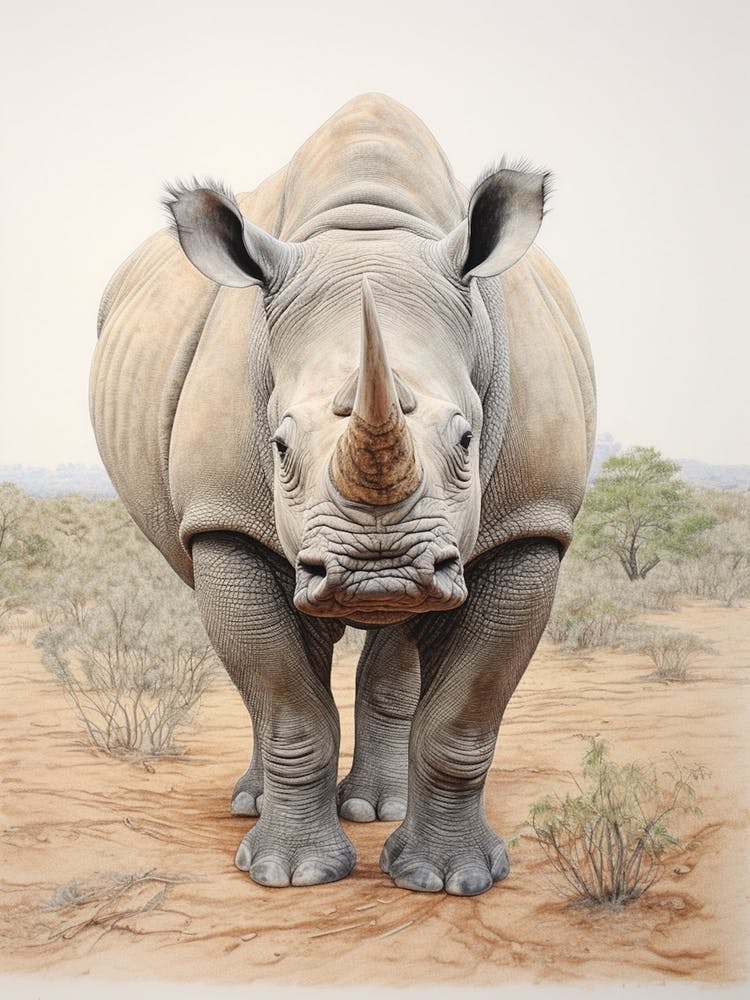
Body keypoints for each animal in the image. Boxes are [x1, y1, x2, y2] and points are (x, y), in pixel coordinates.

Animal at [91, 94, 595, 896]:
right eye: (279, 447)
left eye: (466, 440)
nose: (375, 572)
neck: (372, 231)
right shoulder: (225, 521)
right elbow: (287, 705)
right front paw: (289, 874)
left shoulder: (529, 524)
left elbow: (464, 719)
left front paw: (452, 881)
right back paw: (254, 805)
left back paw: (378, 810)